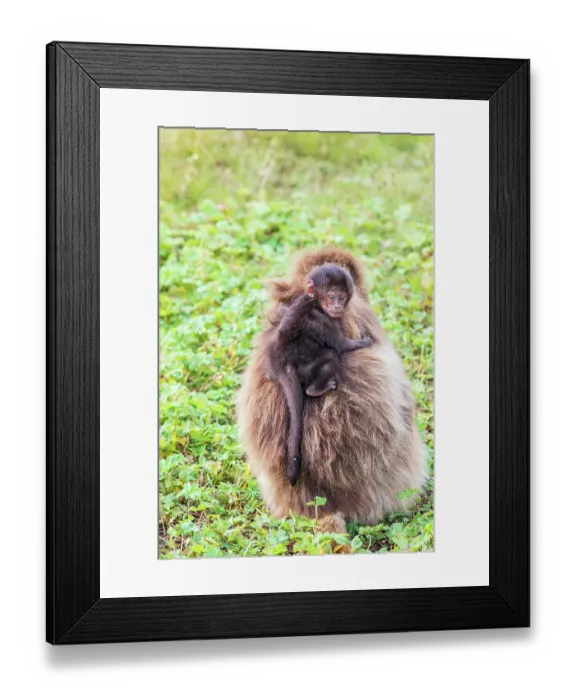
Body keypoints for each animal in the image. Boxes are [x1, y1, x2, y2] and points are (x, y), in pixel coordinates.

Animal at [266, 263, 373, 487]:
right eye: (331, 297)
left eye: (342, 297)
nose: (338, 307)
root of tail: (282, 366)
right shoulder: (321, 319)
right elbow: (341, 345)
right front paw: (363, 342)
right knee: (331, 356)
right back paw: (316, 388)